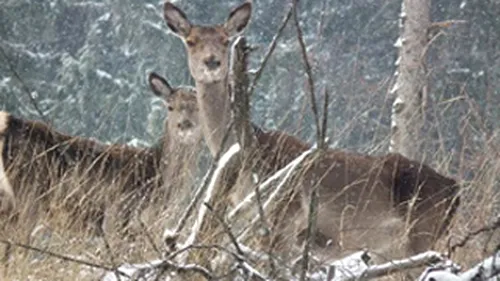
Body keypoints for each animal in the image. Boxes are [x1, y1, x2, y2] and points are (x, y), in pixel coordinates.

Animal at [163, 0, 460, 262]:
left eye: (226, 40)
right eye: (191, 41)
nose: (211, 62)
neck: (250, 154)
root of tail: (455, 189)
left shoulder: (285, 216)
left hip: (421, 234)